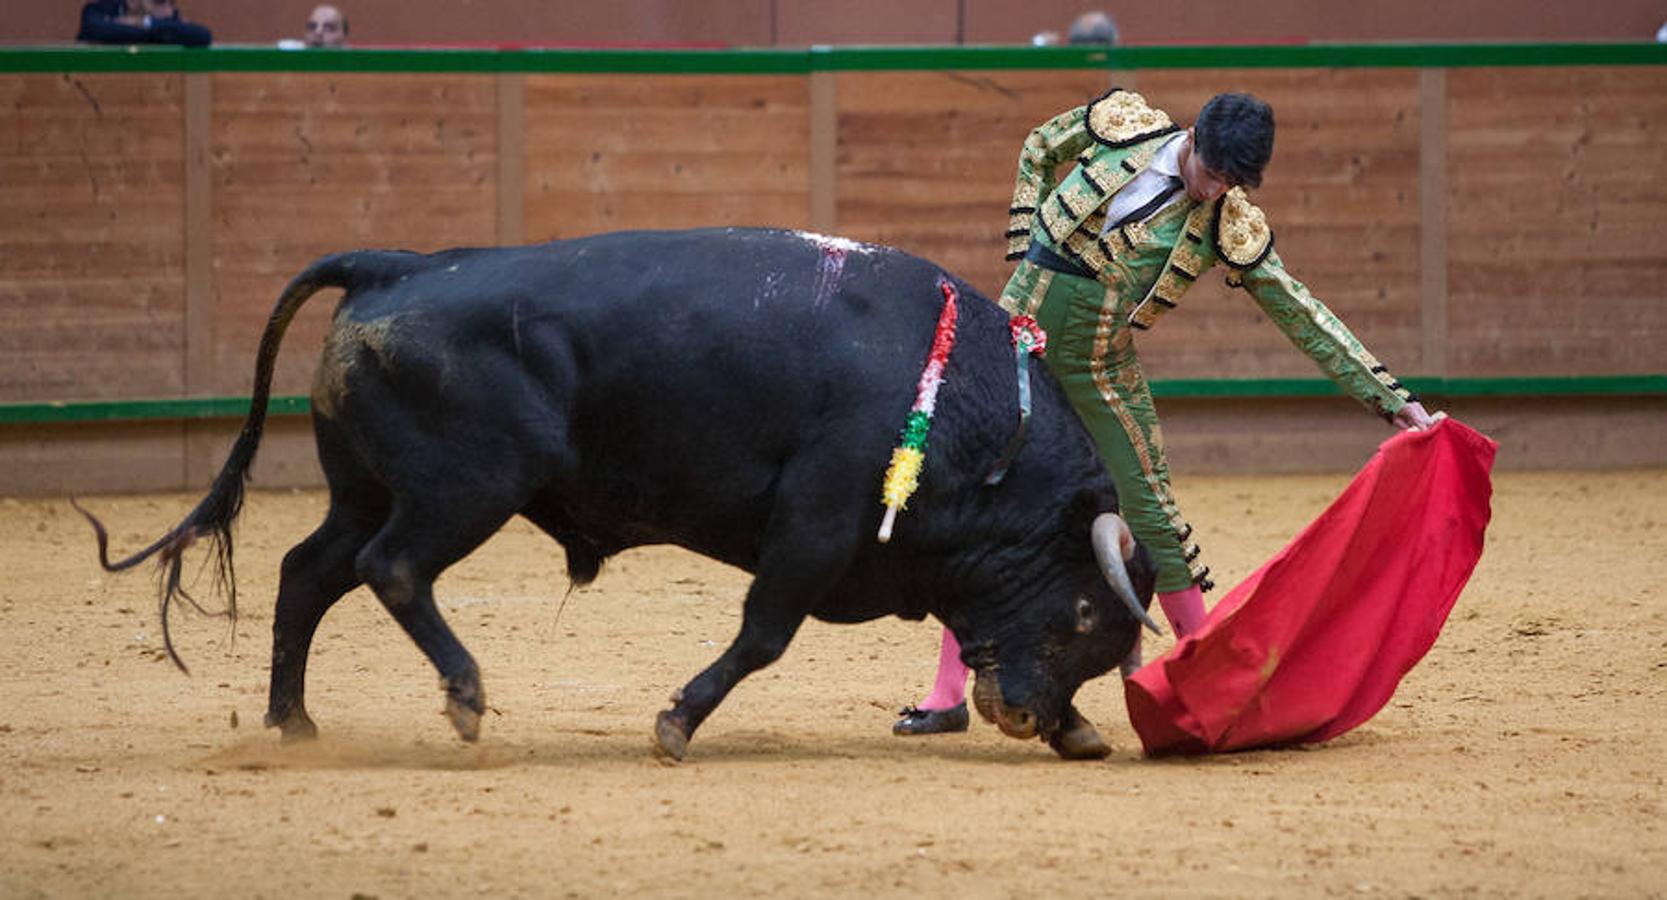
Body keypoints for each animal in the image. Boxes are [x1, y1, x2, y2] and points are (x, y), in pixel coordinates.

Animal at [81, 230, 1160, 760]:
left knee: (309, 571)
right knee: (390, 568)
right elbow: (763, 634)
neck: (963, 401)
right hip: (466, 488)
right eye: (1076, 614)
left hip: (365, 488)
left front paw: (1081, 731)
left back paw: (293, 723)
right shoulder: (813, 529)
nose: (1024, 715)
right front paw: (675, 724)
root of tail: (396, 267)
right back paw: (463, 697)